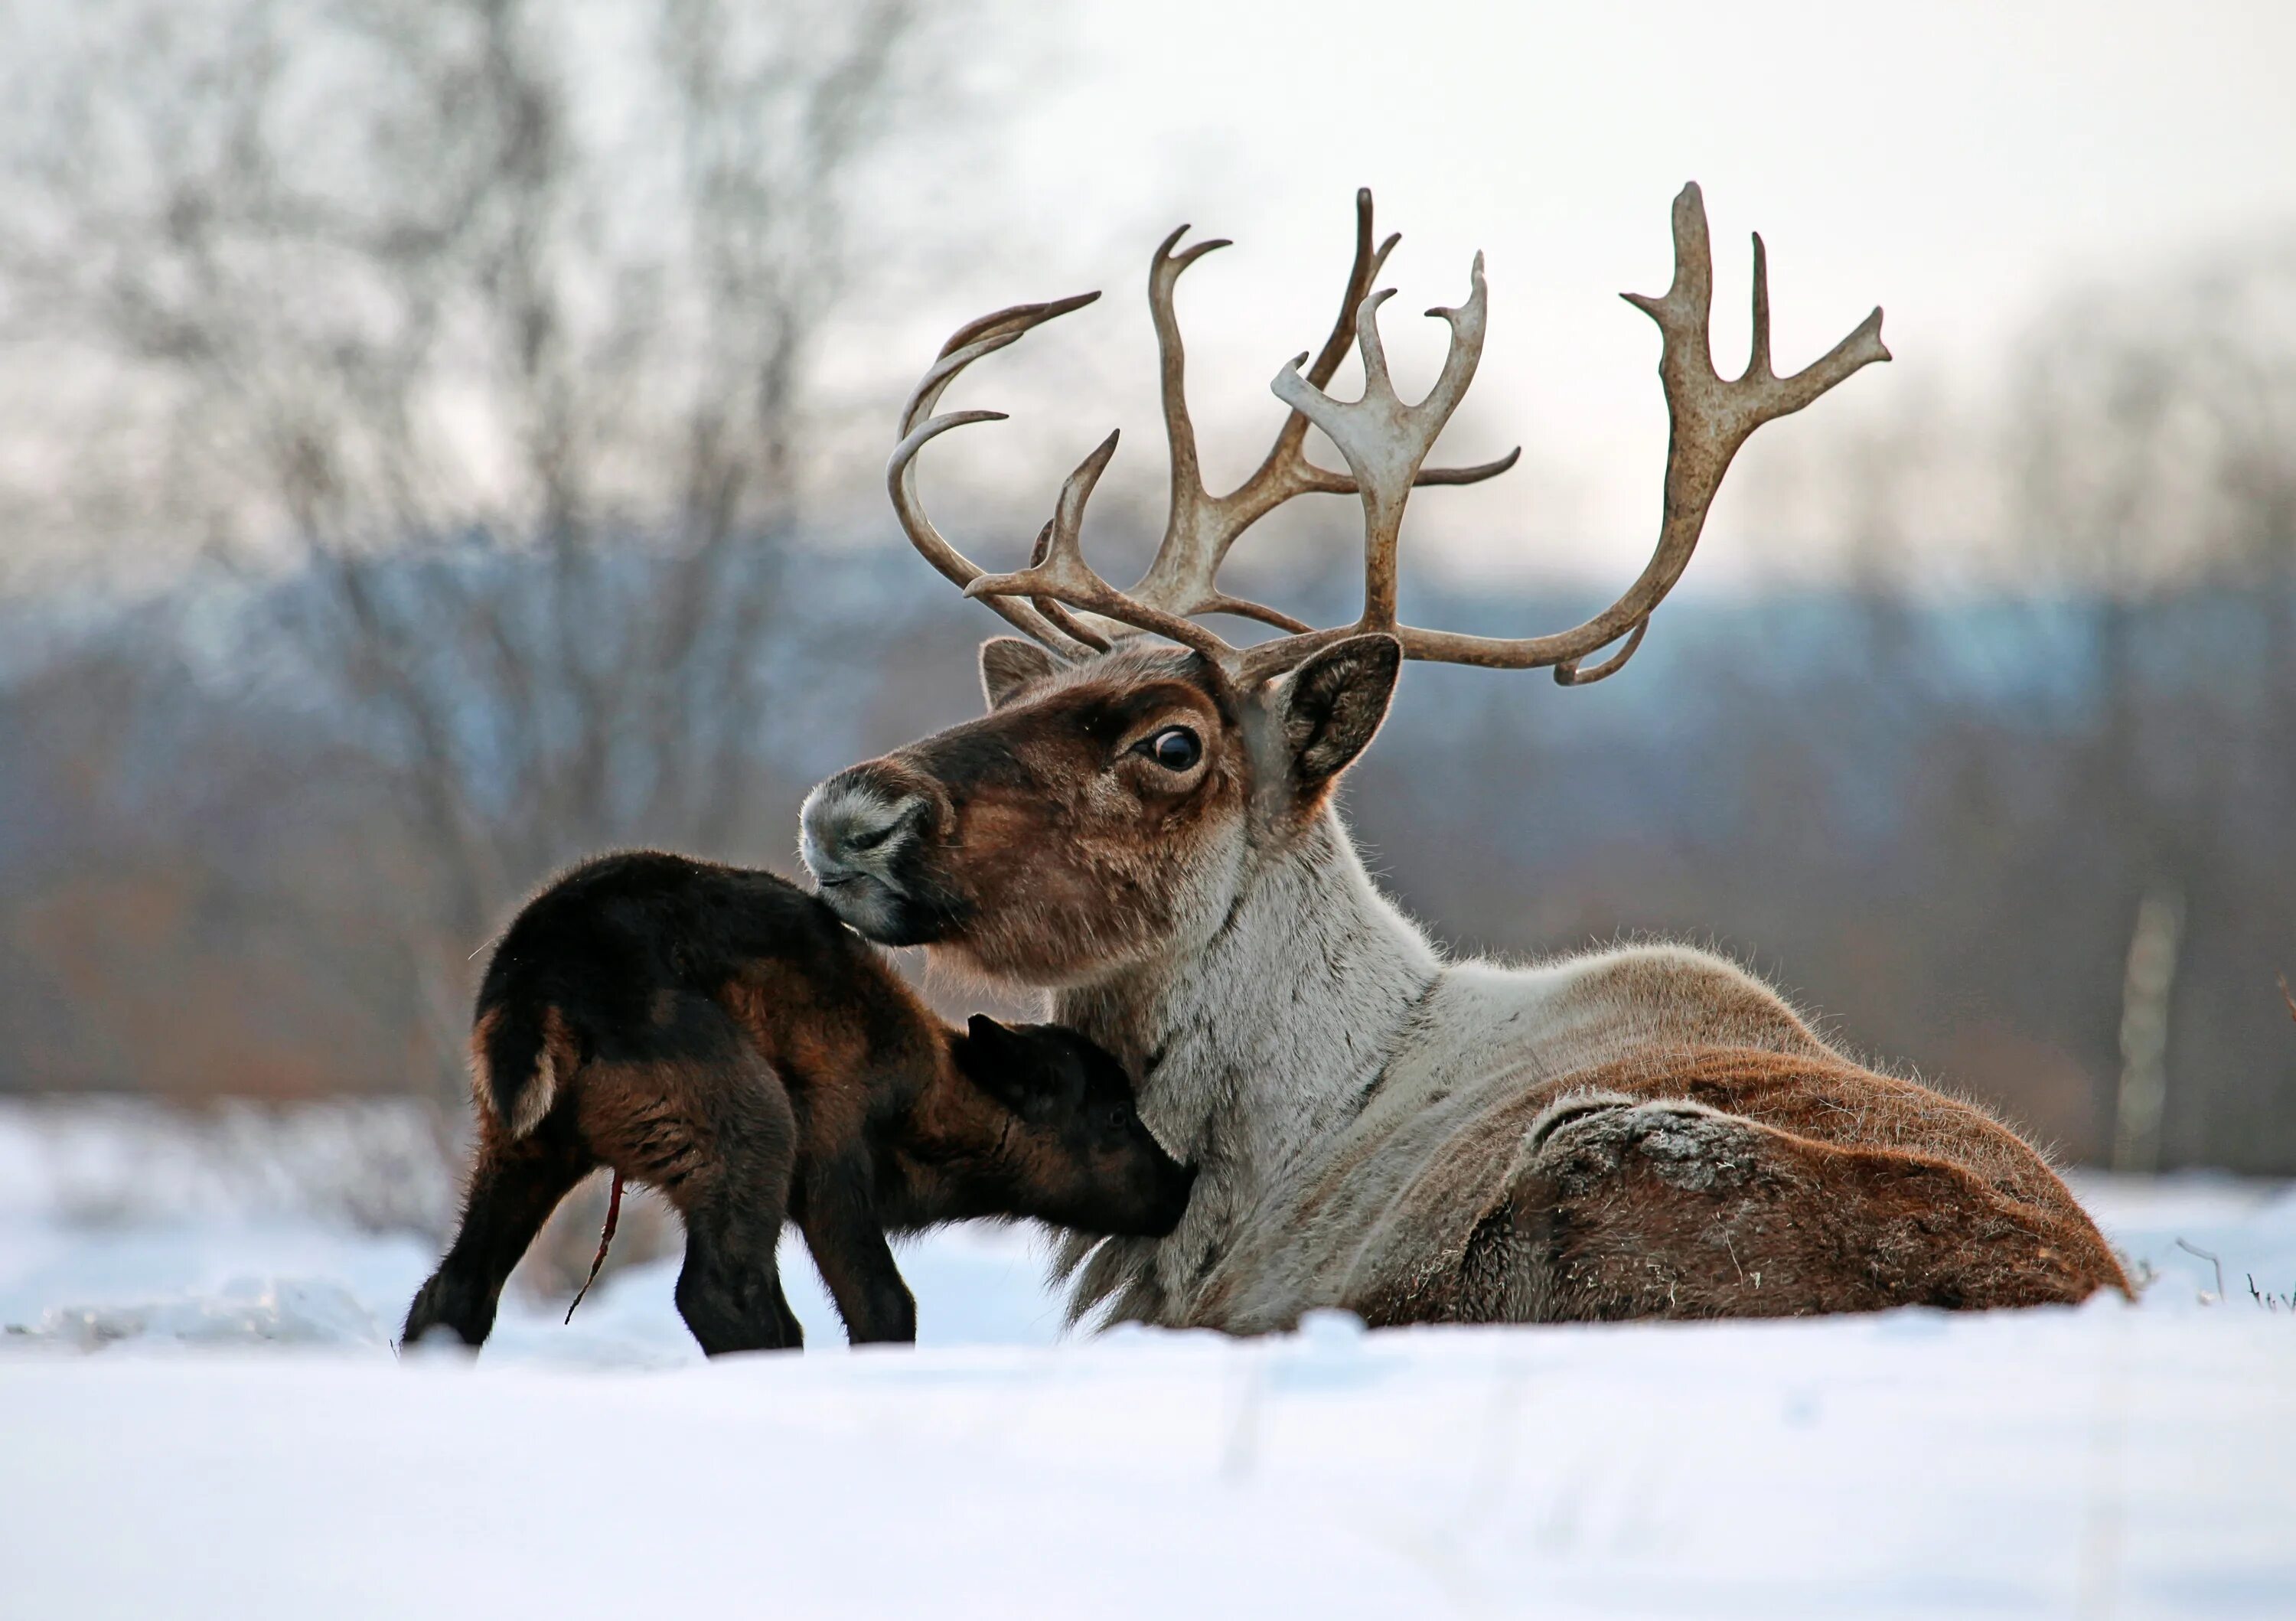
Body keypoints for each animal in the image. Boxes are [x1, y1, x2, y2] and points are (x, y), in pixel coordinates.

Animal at [404, 845, 1194, 1350]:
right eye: (1115, 1115)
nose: (1181, 1183)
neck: (929, 1084)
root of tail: (540, 979)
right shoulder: (832, 1172)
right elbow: (885, 1308)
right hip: (749, 1133)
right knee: (725, 1296)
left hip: (528, 1150)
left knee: (455, 1292)